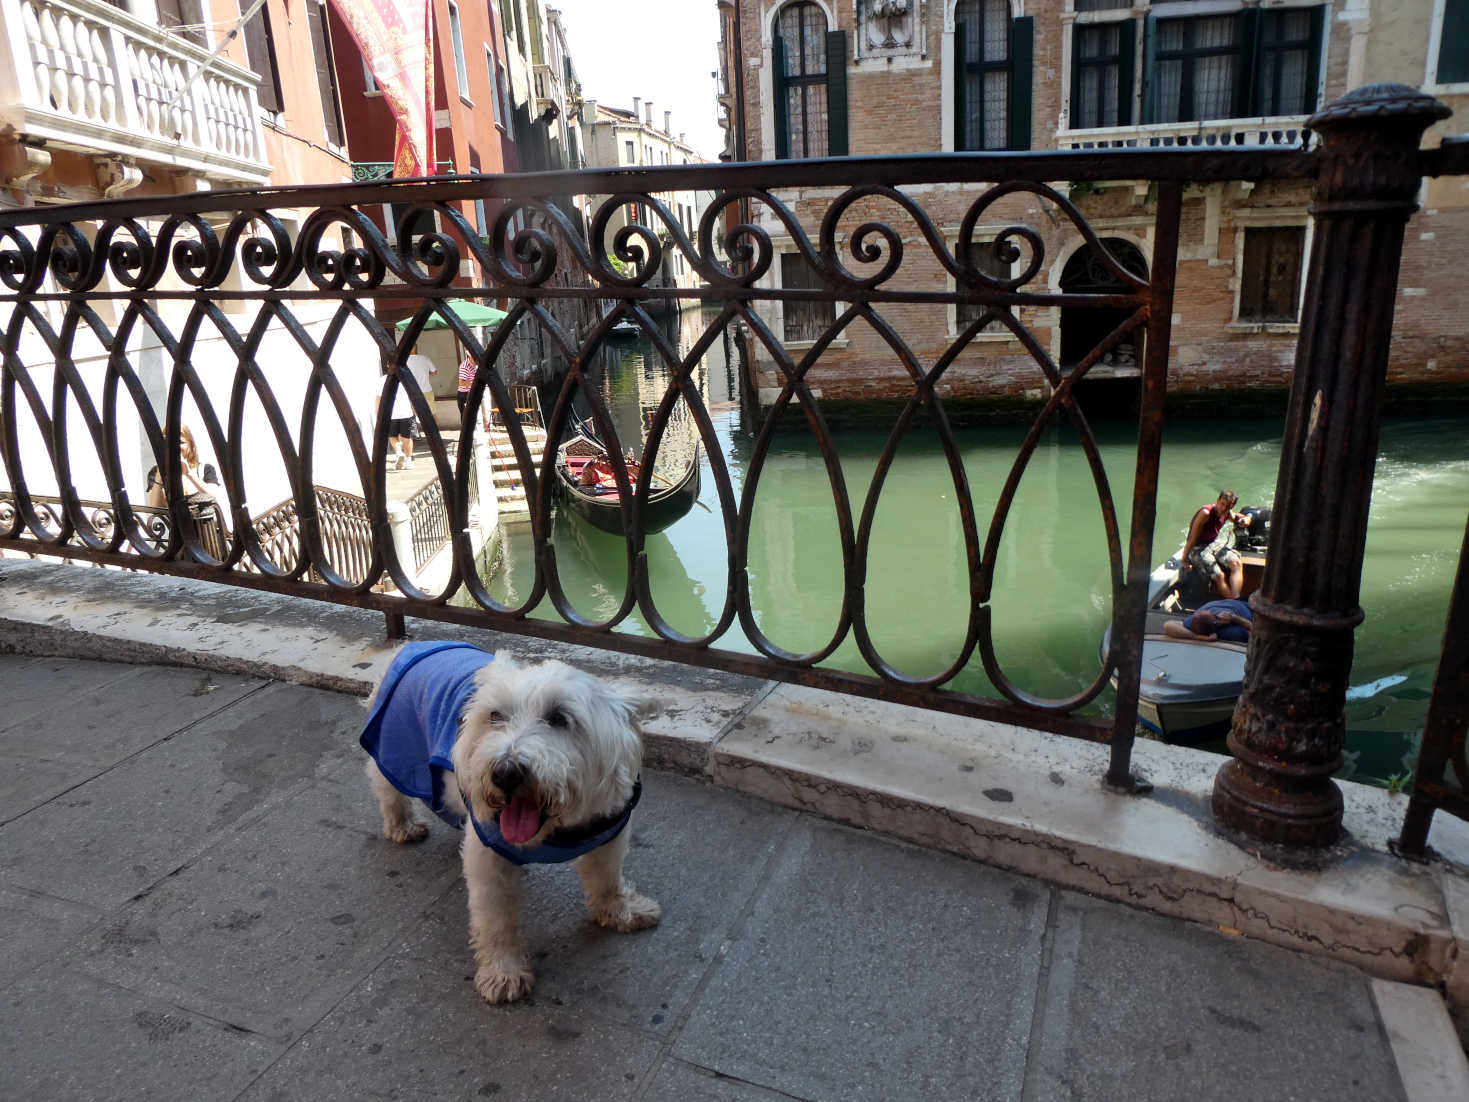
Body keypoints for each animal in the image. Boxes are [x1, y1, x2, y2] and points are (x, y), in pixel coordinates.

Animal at [358, 637, 658, 1010]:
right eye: (495, 716)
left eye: (559, 717)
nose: (505, 772)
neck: (554, 832)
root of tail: (414, 644)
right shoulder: (488, 858)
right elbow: (496, 919)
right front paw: (503, 972)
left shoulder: (608, 830)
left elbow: (607, 879)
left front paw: (621, 911)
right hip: (393, 744)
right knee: (386, 786)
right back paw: (401, 825)